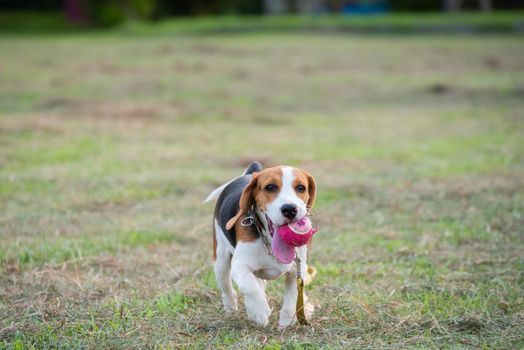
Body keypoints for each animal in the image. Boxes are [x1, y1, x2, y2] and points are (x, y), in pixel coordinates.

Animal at [205, 161, 316, 328]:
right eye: (270, 187)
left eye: (301, 187)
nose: (290, 209)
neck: (269, 242)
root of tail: (249, 174)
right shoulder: (240, 265)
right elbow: (249, 286)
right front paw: (259, 311)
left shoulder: (298, 269)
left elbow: (293, 294)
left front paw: (287, 320)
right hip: (221, 260)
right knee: (227, 287)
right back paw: (231, 308)